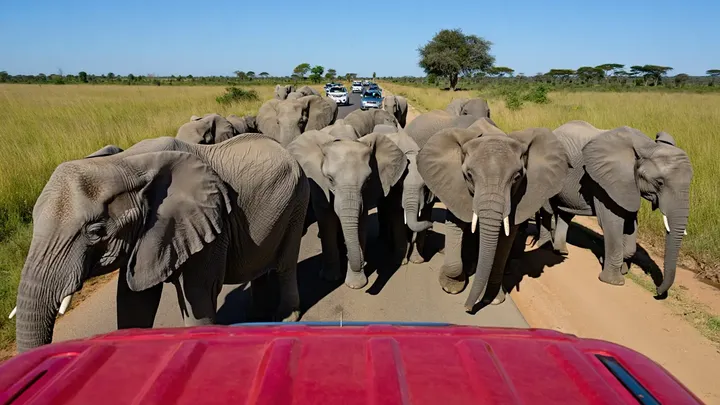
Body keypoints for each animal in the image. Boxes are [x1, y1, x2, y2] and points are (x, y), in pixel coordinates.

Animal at [12, 134, 309, 353]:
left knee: (286, 262)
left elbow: (198, 295)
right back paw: (256, 315)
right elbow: (133, 300)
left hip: (297, 201)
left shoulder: (213, 223)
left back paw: (285, 317)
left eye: (95, 232)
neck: (126, 163)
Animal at [287, 130, 408, 289]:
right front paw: (330, 278)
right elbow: (326, 219)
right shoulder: (318, 183)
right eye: (330, 179)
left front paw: (356, 284)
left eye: (367, 180)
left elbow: (361, 223)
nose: (363, 262)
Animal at [417, 119, 570, 311]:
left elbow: (506, 238)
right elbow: (457, 222)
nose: (467, 308)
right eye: (469, 175)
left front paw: (493, 299)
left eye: (517, 177)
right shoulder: (453, 184)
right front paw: (451, 287)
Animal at [535, 120, 692, 295]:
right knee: (547, 210)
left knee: (565, 213)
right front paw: (614, 282)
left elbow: (630, 225)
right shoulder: (602, 182)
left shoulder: (627, 185)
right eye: (660, 182)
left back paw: (561, 251)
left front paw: (617, 266)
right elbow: (612, 223)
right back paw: (545, 247)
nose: (657, 292)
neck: (647, 146)